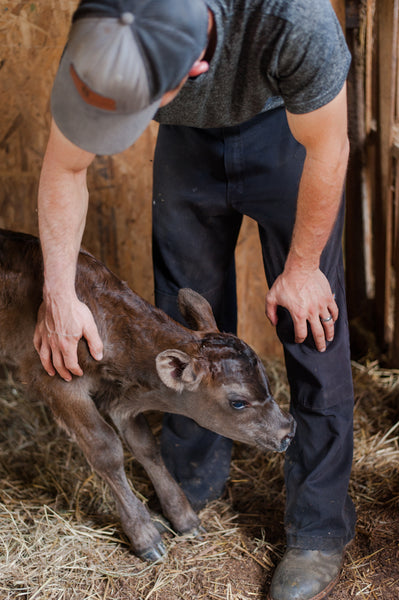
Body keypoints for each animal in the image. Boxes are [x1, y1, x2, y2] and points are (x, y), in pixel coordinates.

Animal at [0, 230, 296, 564]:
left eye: (266, 381)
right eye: (238, 402)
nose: (288, 431)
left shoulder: (123, 400)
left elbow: (147, 448)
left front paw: (185, 519)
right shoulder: (58, 383)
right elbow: (106, 449)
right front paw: (144, 535)